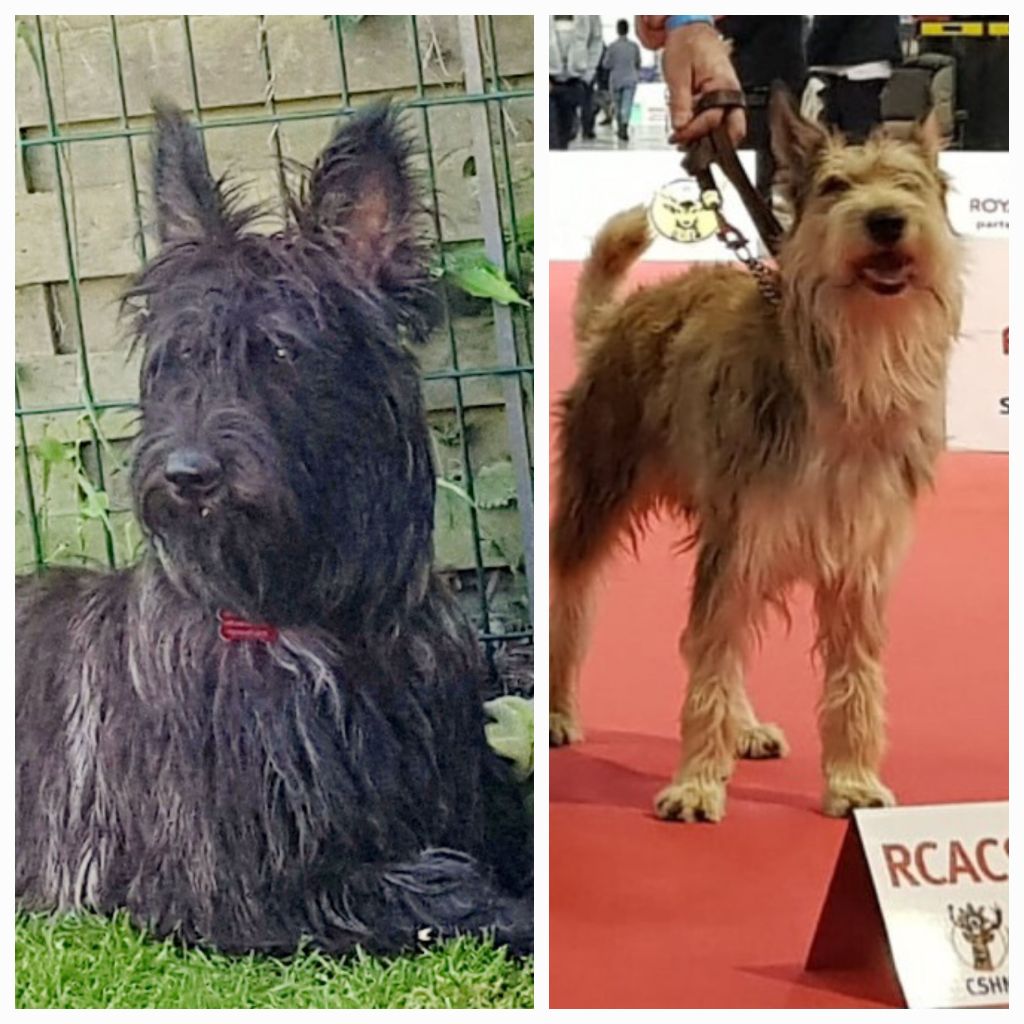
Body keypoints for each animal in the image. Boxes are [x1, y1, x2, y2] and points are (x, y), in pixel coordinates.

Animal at [16, 103, 532, 958]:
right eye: (182, 356)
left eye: (284, 351)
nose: (188, 474)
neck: (311, 622)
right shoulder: (249, 888)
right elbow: (442, 889)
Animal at [552, 92, 958, 819]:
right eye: (835, 188)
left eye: (908, 185)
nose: (886, 221)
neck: (843, 372)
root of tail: (616, 322)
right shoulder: (738, 545)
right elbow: (711, 664)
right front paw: (695, 783)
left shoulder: (857, 562)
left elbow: (854, 680)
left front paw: (852, 779)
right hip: (597, 498)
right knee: (573, 603)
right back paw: (557, 712)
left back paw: (743, 728)